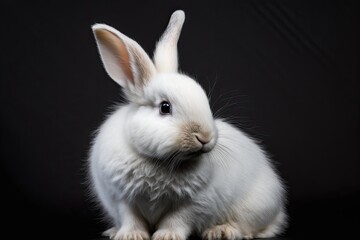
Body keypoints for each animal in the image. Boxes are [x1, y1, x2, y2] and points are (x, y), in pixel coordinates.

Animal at [90, 9, 286, 240]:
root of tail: (278, 212)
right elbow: (131, 218)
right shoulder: (120, 198)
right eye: (165, 107)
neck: (161, 162)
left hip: (254, 208)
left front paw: (166, 236)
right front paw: (131, 235)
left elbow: (177, 219)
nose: (205, 137)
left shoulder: (196, 202)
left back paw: (222, 231)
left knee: (252, 228)